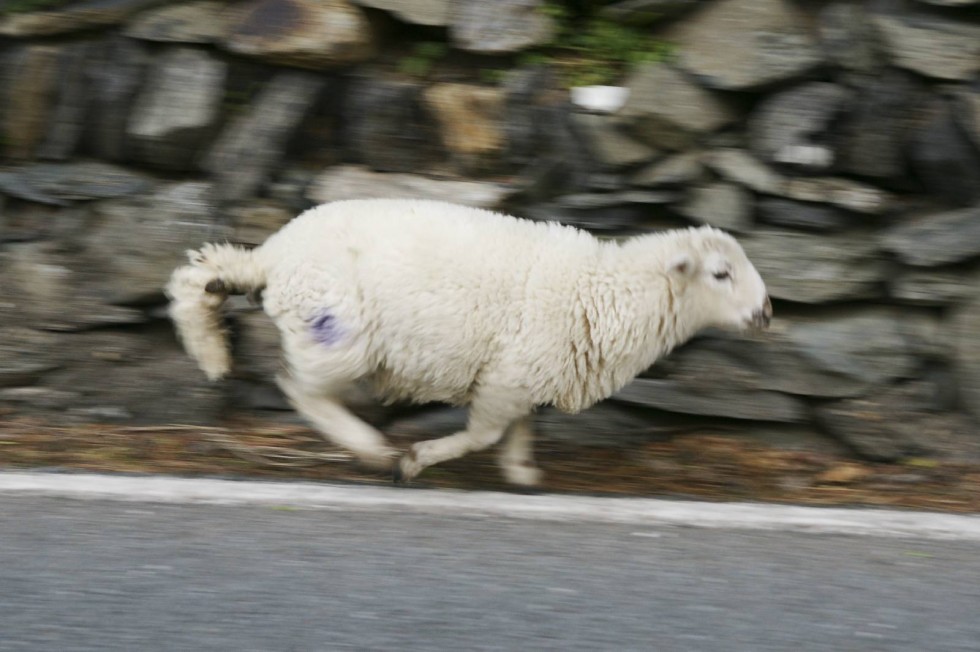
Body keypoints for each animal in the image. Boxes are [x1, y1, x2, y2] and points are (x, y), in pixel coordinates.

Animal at [165, 197, 768, 484]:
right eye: (720, 274)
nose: (765, 312)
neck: (605, 289)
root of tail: (273, 256)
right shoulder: (507, 379)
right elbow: (481, 435)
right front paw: (417, 461)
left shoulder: (523, 374)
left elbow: (519, 431)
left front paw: (522, 473)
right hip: (337, 335)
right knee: (303, 392)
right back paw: (372, 450)